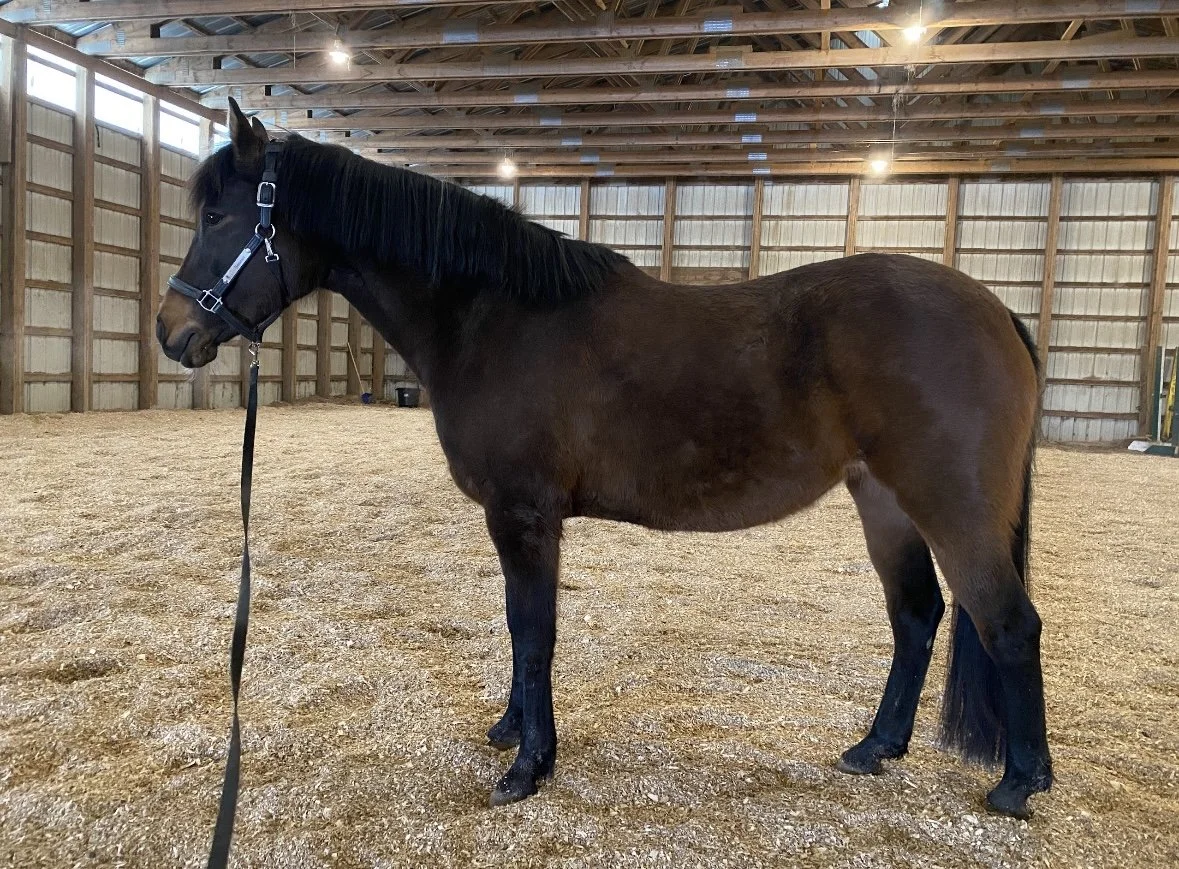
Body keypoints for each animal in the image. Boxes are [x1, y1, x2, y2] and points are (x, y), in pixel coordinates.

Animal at [157, 99, 1052, 819]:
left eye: (218, 219)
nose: (173, 332)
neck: (494, 316)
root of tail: (994, 310)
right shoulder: (519, 519)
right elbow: (517, 629)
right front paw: (510, 729)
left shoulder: (524, 514)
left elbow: (533, 631)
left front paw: (529, 765)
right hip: (882, 500)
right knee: (916, 614)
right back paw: (875, 748)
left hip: (949, 503)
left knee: (1006, 621)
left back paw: (1018, 783)